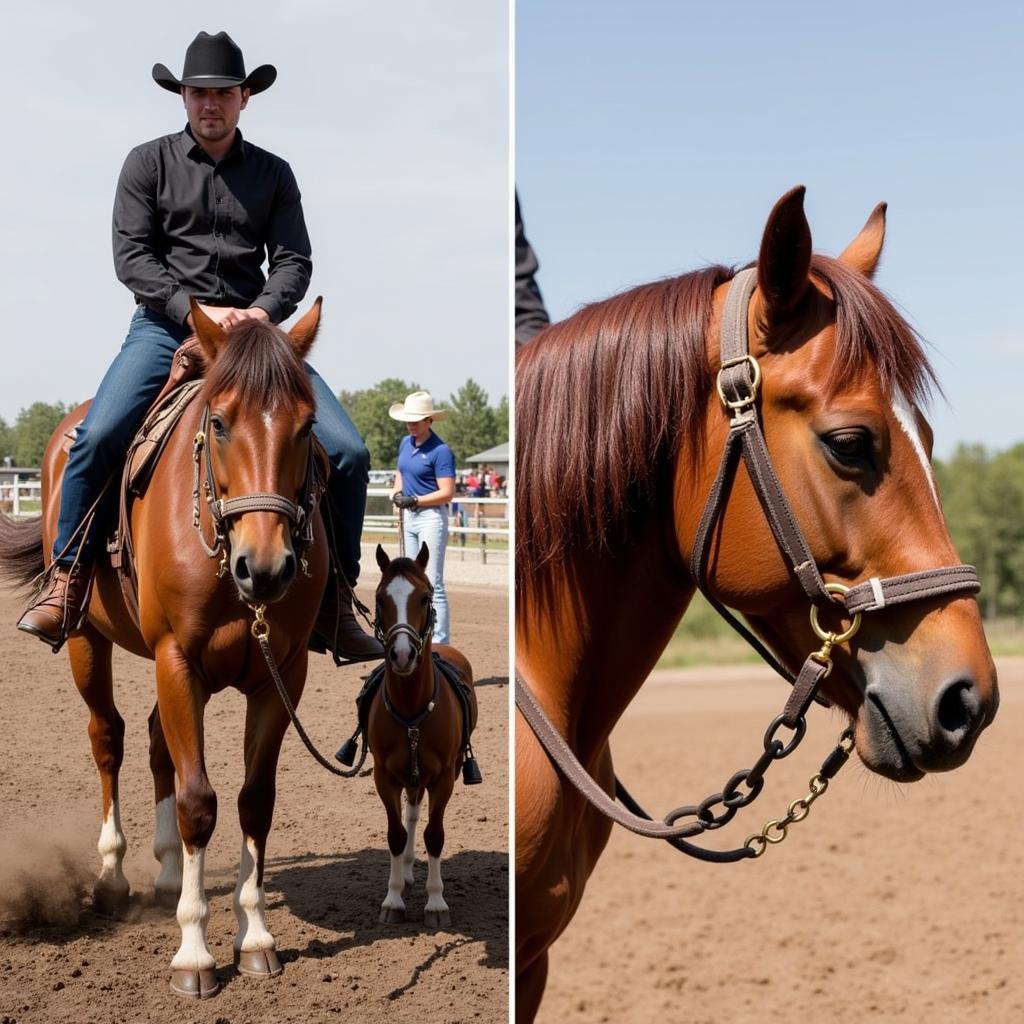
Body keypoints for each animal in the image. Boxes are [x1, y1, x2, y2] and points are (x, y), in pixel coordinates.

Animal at [0, 299, 327, 999]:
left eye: (308, 426)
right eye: (220, 422)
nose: (266, 568)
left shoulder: (281, 673)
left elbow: (253, 800)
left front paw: (255, 937)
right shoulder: (178, 658)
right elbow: (198, 800)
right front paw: (194, 954)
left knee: (155, 743)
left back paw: (171, 873)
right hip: (89, 642)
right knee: (110, 738)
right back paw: (113, 877)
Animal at [370, 544, 477, 929]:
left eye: (425, 597)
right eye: (380, 598)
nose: (403, 654)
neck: (412, 710)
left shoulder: (444, 777)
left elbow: (435, 834)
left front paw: (436, 904)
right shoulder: (384, 776)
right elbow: (395, 833)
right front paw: (392, 899)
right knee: (410, 816)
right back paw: (405, 873)